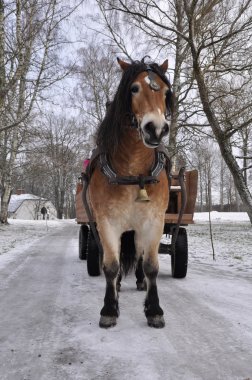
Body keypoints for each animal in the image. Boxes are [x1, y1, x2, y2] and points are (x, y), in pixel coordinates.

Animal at [88, 58, 173, 328]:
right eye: (134, 89)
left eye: (165, 92)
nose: (156, 129)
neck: (133, 173)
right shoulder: (106, 223)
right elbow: (111, 266)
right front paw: (109, 308)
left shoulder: (154, 221)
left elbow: (150, 265)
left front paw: (154, 309)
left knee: (138, 254)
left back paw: (139, 281)